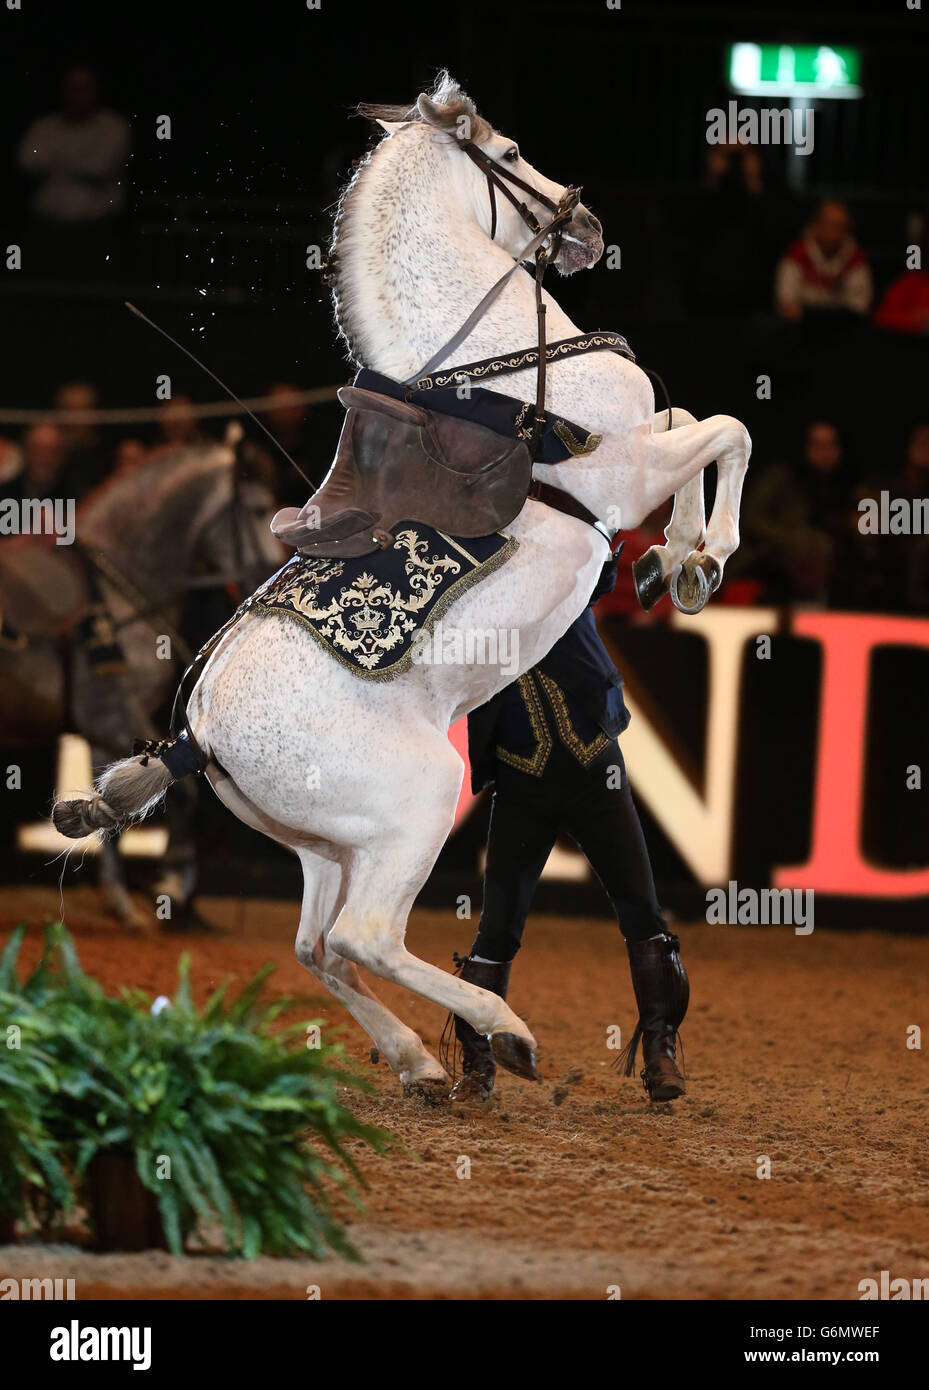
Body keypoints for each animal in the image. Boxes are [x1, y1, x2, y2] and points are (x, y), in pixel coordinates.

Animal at [54, 76, 750, 1095]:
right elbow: (725, 428)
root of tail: (196, 735)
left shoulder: (637, 452)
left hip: (334, 844)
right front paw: (703, 554)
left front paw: (678, 561)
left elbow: (690, 417)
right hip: (418, 806)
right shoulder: (624, 474)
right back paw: (501, 1031)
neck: (499, 368)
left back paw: (417, 1057)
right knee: (364, 940)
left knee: (316, 948)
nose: (587, 227)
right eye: (510, 150)